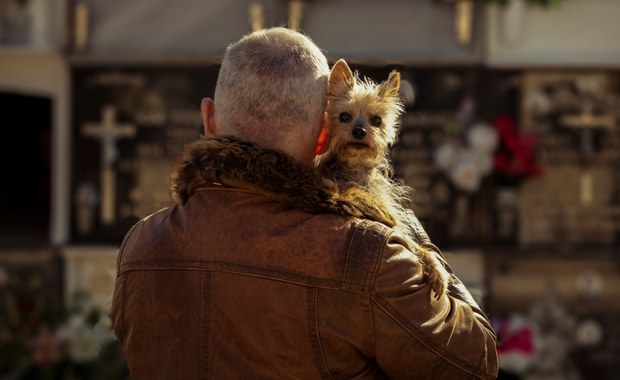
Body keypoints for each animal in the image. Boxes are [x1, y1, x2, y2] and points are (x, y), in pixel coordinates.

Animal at [318, 58, 448, 296]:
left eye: (376, 120)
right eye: (344, 117)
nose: (359, 131)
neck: (355, 170)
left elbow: (417, 245)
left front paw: (436, 270)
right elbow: (410, 242)